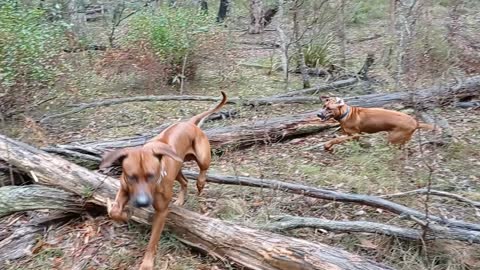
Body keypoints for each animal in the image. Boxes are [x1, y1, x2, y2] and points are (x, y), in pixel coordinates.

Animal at [99, 91, 227, 270]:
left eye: (152, 175)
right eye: (131, 177)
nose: (142, 202)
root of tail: (189, 123)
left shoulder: (161, 212)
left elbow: (153, 240)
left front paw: (147, 263)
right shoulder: (124, 188)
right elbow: (115, 211)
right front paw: (124, 213)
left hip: (202, 156)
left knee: (203, 169)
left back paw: (200, 182)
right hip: (177, 167)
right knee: (185, 181)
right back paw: (180, 199)